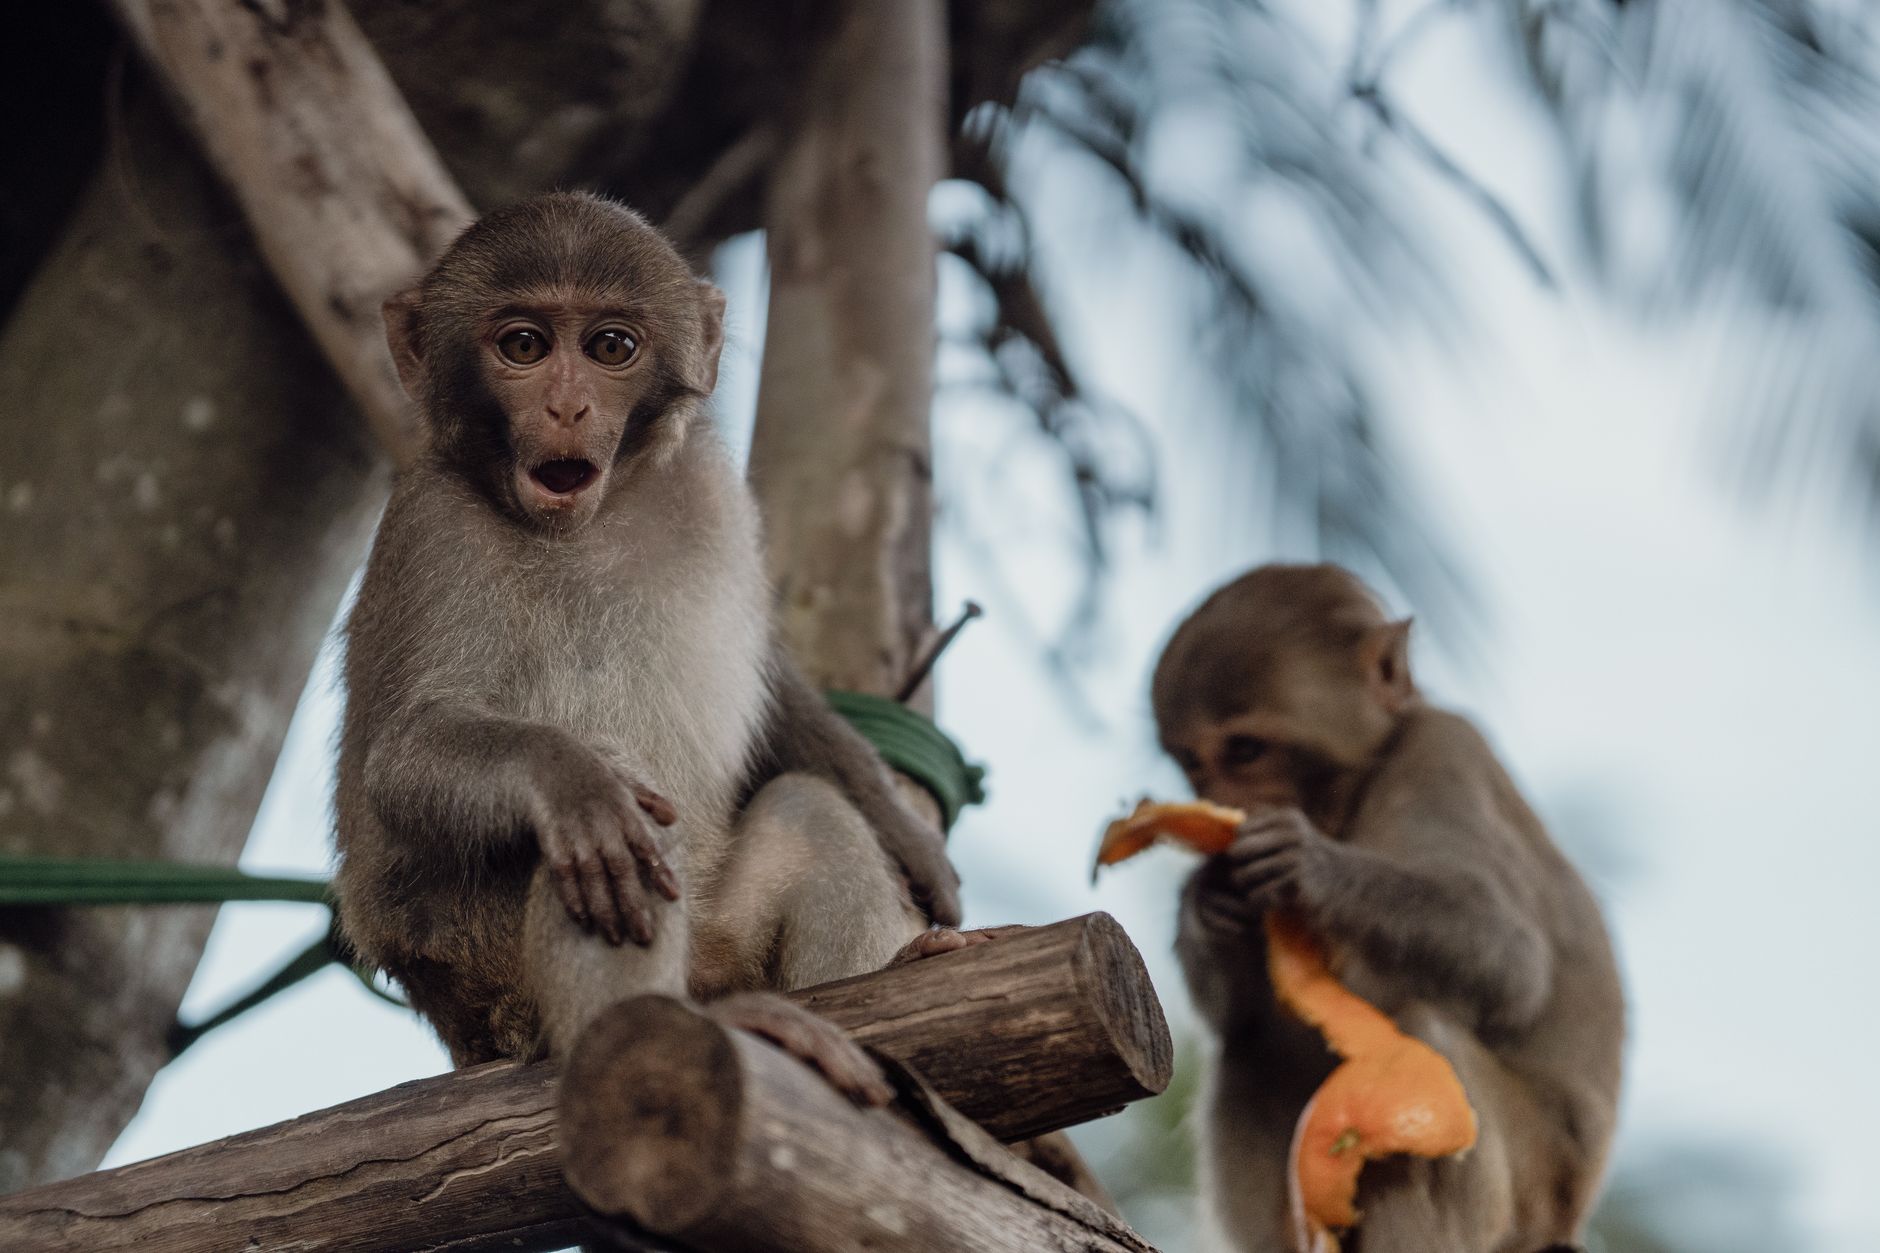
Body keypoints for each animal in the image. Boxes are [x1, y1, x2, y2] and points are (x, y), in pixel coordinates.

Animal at [332, 191, 977, 1101]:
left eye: (611, 347)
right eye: (523, 346)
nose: (568, 408)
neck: (588, 523)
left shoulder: (709, 491)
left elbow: (771, 691)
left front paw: (907, 833)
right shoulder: (432, 530)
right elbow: (403, 757)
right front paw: (567, 773)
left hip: (718, 933)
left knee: (807, 812)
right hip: (488, 977)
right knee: (603, 836)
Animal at [1151, 564, 1623, 1253]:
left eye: (1243, 750)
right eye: (1191, 761)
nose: (1217, 799)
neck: (1353, 791)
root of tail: (1569, 1217)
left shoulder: (1443, 752)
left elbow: (1510, 958)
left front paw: (1310, 865)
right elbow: (1236, 1016)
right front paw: (1206, 899)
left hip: (1537, 1185)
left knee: (1426, 1042)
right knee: (1250, 1051)